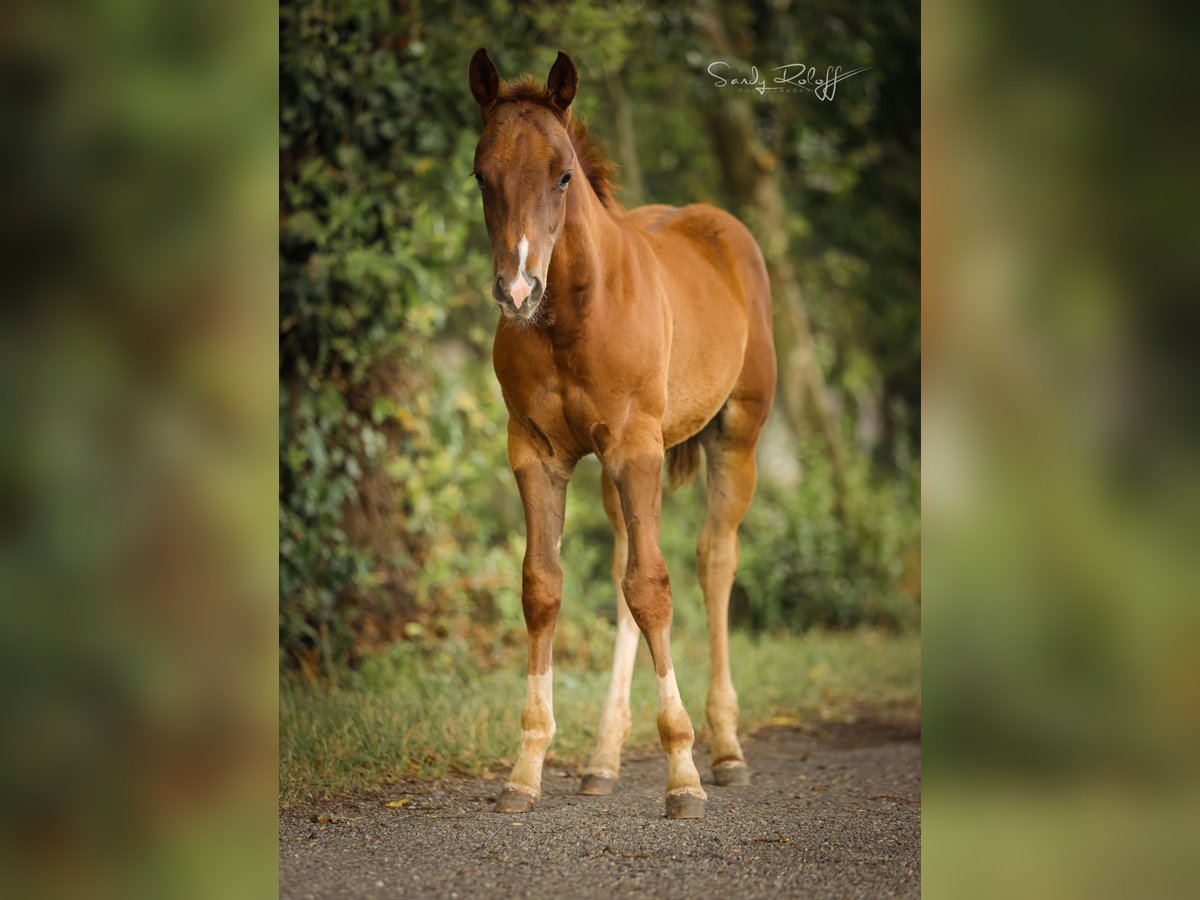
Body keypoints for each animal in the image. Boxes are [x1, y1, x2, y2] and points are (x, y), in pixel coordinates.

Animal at [468, 48, 776, 820]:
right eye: (481, 174)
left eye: (562, 174)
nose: (517, 291)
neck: (572, 317)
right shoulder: (537, 453)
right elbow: (544, 587)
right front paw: (525, 769)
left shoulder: (636, 448)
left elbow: (654, 588)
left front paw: (683, 774)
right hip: (619, 466)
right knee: (620, 570)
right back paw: (603, 761)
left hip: (737, 435)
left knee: (713, 560)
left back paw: (726, 750)